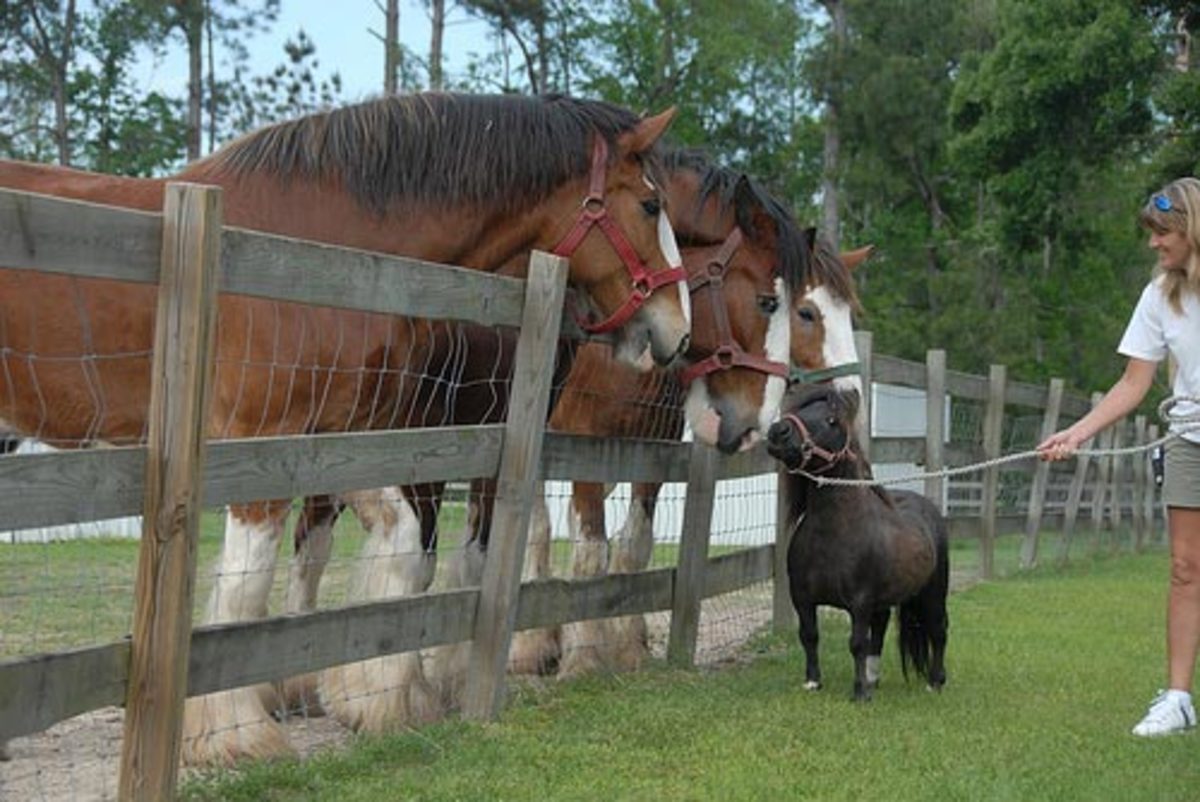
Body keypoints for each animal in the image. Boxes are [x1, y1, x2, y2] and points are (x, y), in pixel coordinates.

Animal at [0, 90, 691, 763]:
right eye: (650, 204)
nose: (677, 332)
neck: (318, 251)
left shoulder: (340, 443)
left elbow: (403, 548)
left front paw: (377, 700)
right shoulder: (263, 444)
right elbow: (248, 586)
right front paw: (234, 733)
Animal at [768, 379, 945, 696]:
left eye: (831, 420)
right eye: (799, 409)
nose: (778, 432)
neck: (831, 535)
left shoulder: (860, 602)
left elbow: (857, 643)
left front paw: (860, 691)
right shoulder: (802, 598)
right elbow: (809, 635)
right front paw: (813, 682)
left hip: (933, 592)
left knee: (938, 631)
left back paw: (935, 681)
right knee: (882, 628)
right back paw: (874, 678)